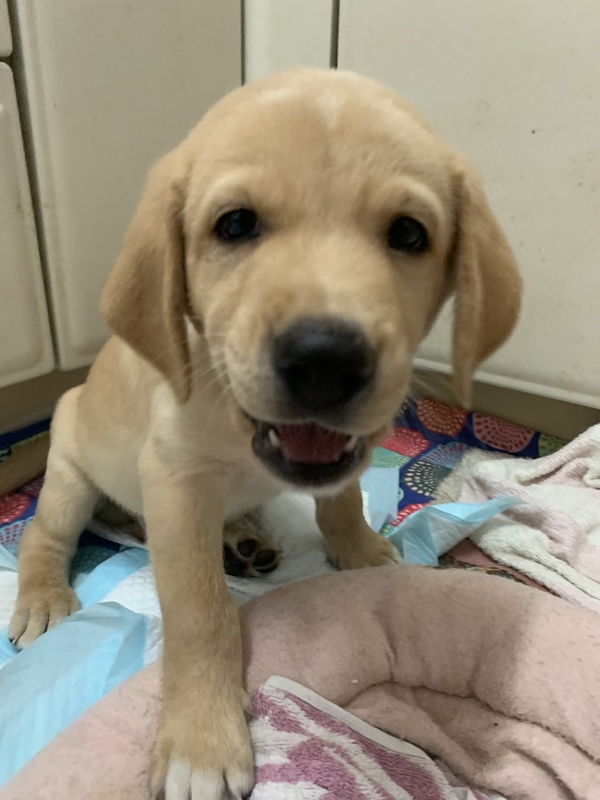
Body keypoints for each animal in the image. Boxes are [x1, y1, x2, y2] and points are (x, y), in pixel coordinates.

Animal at [7, 68, 521, 799]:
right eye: (236, 224)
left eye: (409, 234)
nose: (326, 359)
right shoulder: (175, 478)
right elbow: (199, 611)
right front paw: (202, 739)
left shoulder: (339, 456)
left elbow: (340, 500)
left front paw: (362, 553)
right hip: (72, 469)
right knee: (46, 534)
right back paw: (46, 595)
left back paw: (243, 542)